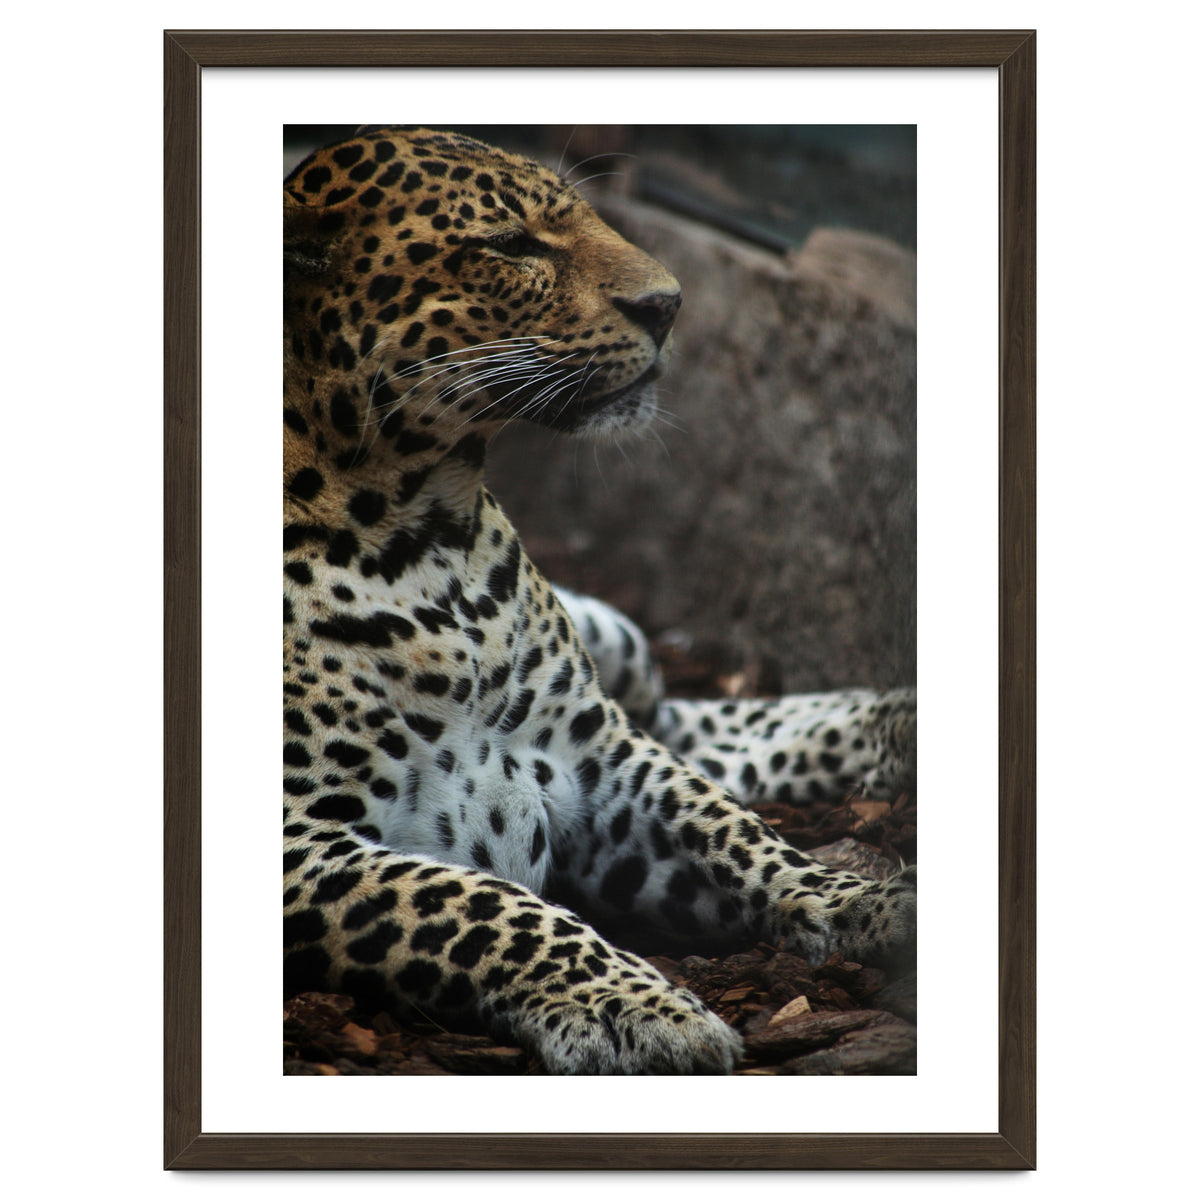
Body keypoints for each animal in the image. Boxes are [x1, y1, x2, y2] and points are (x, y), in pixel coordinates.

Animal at [283, 126, 917, 1075]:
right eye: (511, 245)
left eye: (581, 216)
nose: (670, 304)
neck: (428, 535)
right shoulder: (298, 842)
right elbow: (482, 905)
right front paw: (638, 1008)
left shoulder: (597, 757)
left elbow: (732, 829)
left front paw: (865, 902)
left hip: (620, 654)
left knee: (687, 723)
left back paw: (898, 721)